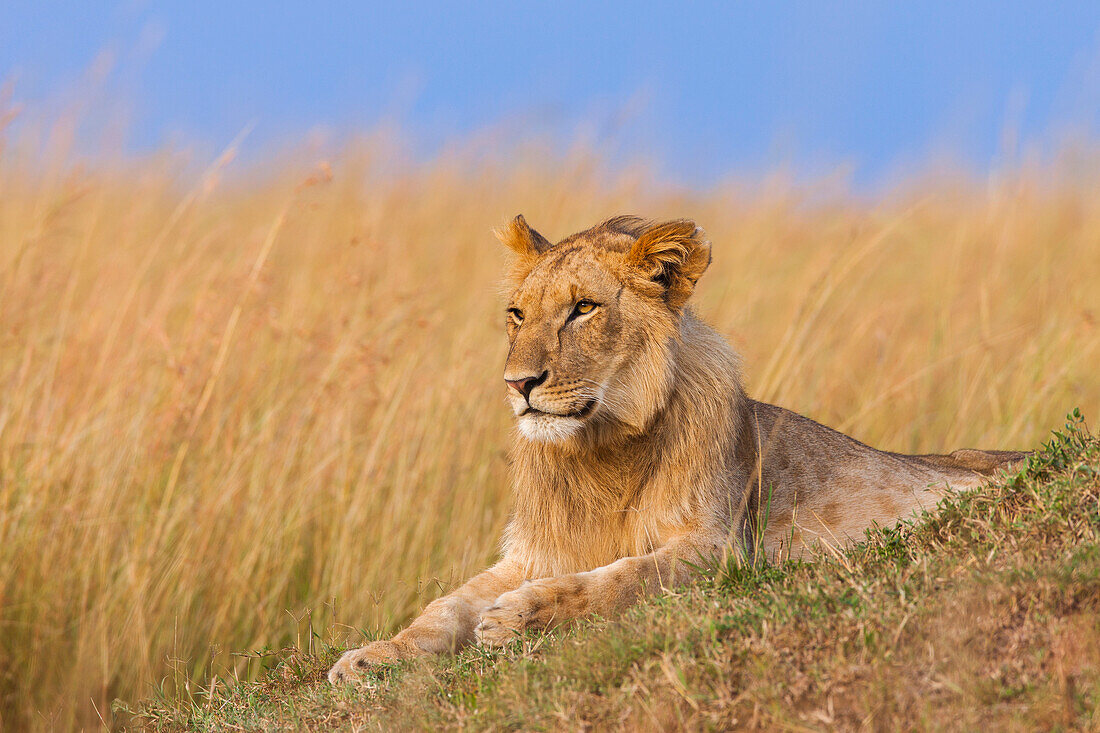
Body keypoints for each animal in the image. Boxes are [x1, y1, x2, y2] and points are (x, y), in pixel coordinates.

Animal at [323, 214, 1020, 682]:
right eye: (517, 315)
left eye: (583, 309)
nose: (517, 384)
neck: (599, 452)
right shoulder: (531, 553)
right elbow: (443, 607)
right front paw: (372, 657)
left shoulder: (723, 548)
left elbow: (625, 577)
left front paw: (518, 616)